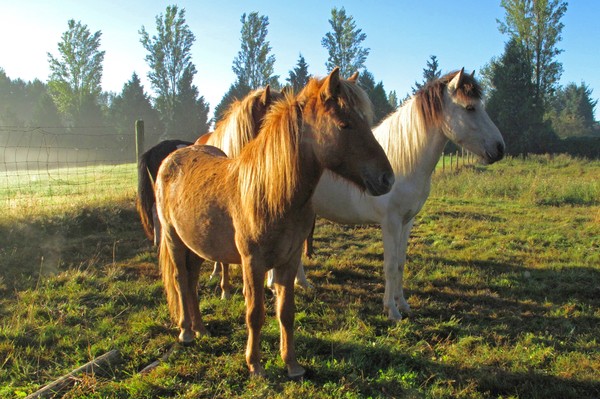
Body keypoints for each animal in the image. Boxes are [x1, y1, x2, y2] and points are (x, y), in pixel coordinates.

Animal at [155, 69, 394, 378]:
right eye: (345, 124)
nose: (387, 178)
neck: (269, 192)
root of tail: (172, 157)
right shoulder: (252, 263)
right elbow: (255, 314)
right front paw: (255, 365)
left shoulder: (289, 260)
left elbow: (286, 312)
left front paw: (291, 364)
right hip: (173, 238)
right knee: (181, 280)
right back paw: (186, 332)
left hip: (195, 244)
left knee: (192, 279)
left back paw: (201, 329)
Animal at [292, 67, 504, 320]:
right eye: (470, 108)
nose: (500, 148)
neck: (403, 161)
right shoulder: (390, 222)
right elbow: (390, 265)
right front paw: (391, 310)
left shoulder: (407, 221)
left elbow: (401, 263)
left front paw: (402, 304)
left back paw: (302, 284)